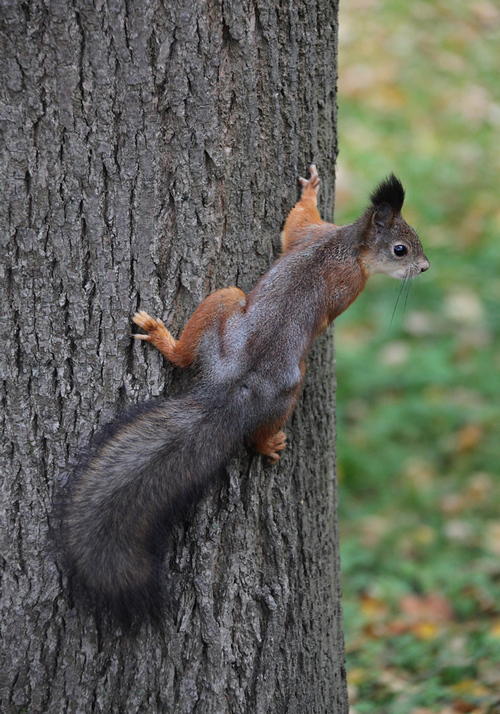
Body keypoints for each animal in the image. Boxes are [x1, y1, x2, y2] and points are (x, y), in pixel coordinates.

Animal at [62, 164, 430, 620]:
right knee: (240, 416)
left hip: (224, 307)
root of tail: (233, 384)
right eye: (401, 249)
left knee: (186, 358)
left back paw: (163, 340)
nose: (426, 267)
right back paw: (264, 438)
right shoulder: (342, 274)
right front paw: (311, 190)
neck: (347, 246)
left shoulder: (310, 236)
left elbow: (295, 224)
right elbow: (303, 235)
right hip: (278, 365)